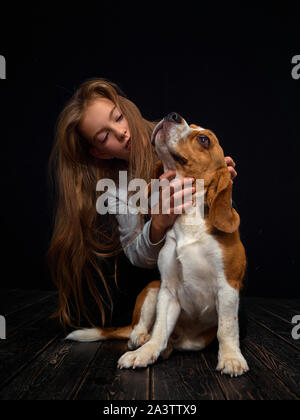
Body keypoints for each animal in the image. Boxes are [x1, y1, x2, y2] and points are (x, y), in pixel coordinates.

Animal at [67, 114, 248, 378]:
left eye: (204, 140)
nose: (173, 115)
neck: (188, 217)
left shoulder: (228, 287)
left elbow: (227, 328)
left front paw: (231, 358)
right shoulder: (168, 290)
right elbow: (160, 329)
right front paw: (145, 353)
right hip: (152, 288)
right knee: (145, 329)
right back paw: (140, 339)